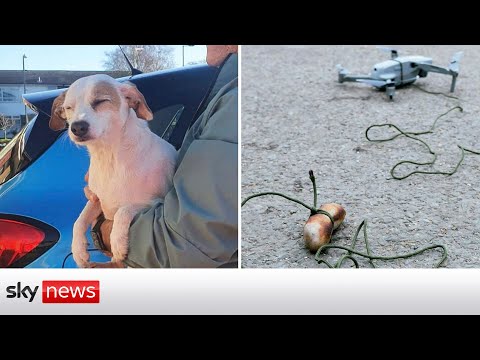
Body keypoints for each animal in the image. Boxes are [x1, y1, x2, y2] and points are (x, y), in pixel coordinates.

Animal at [48, 74, 178, 268]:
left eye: (100, 101)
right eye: (68, 108)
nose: (77, 127)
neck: (109, 158)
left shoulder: (156, 202)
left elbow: (123, 210)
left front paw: (117, 242)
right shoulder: (95, 199)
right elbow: (79, 221)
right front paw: (78, 250)